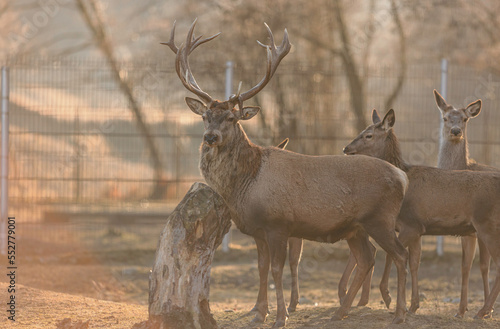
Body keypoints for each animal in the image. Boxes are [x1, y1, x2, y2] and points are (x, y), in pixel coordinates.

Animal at [164, 19, 410, 326]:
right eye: (205, 116)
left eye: (231, 118)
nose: (210, 137)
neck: (246, 185)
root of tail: (402, 177)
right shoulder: (257, 230)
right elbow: (261, 268)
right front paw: (260, 313)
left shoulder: (278, 224)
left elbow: (276, 270)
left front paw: (281, 316)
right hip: (356, 227)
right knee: (368, 258)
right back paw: (340, 312)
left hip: (380, 219)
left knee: (400, 254)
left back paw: (398, 313)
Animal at [344, 109, 500, 320]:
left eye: (368, 135)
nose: (346, 148)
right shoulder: (418, 229)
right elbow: (414, 262)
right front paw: (413, 305)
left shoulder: (411, 224)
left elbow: (392, 255)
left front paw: (388, 296)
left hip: (488, 225)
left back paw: (482, 311)